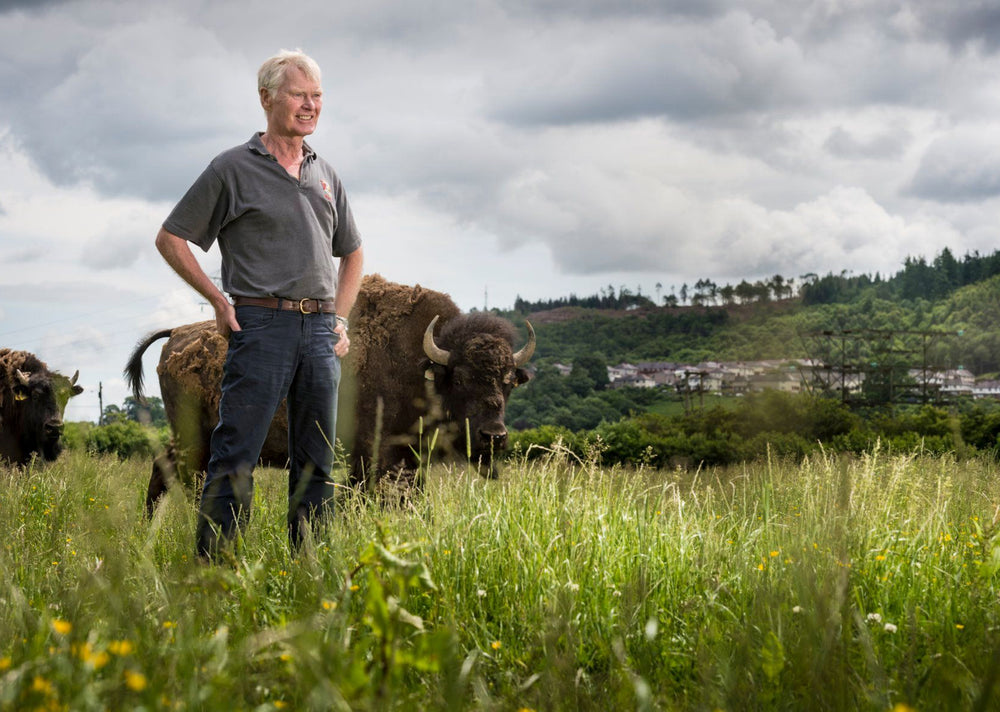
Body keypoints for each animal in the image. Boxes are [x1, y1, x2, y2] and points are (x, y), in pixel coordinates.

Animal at [127, 272, 540, 512]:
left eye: (507, 381)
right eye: (462, 378)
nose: (494, 436)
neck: (420, 362)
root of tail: (178, 333)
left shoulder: (407, 459)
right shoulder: (372, 455)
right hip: (192, 436)